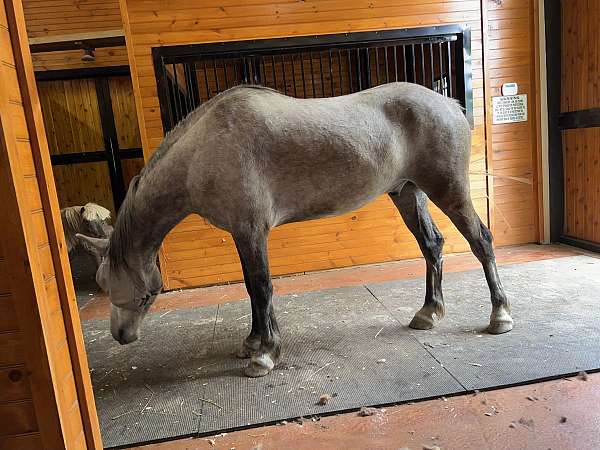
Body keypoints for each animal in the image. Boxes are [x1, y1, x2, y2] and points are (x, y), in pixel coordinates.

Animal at [77, 82, 512, 378]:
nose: (121, 335)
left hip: (449, 191)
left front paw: (264, 354)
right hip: (408, 193)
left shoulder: (252, 230)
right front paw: (253, 342)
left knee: (481, 242)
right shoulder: (241, 233)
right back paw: (428, 312)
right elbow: (252, 289)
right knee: (432, 246)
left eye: (147, 294)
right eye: (103, 285)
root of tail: (449, 103)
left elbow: (261, 287)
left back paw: (500, 316)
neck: (206, 147)